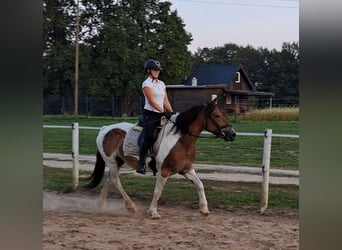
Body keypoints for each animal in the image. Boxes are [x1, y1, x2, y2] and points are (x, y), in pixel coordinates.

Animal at [84, 97, 236, 219]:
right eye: (217, 115)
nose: (232, 134)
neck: (179, 140)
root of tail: (105, 128)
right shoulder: (164, 171)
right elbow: (158, 192)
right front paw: (153, 212)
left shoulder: (187, 169)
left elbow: (200, 185)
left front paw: (204, 210)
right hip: (111, 161)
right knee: (115, 180)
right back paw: (130, 206)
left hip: (118, 161)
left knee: (109, 179)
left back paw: (101, 206)